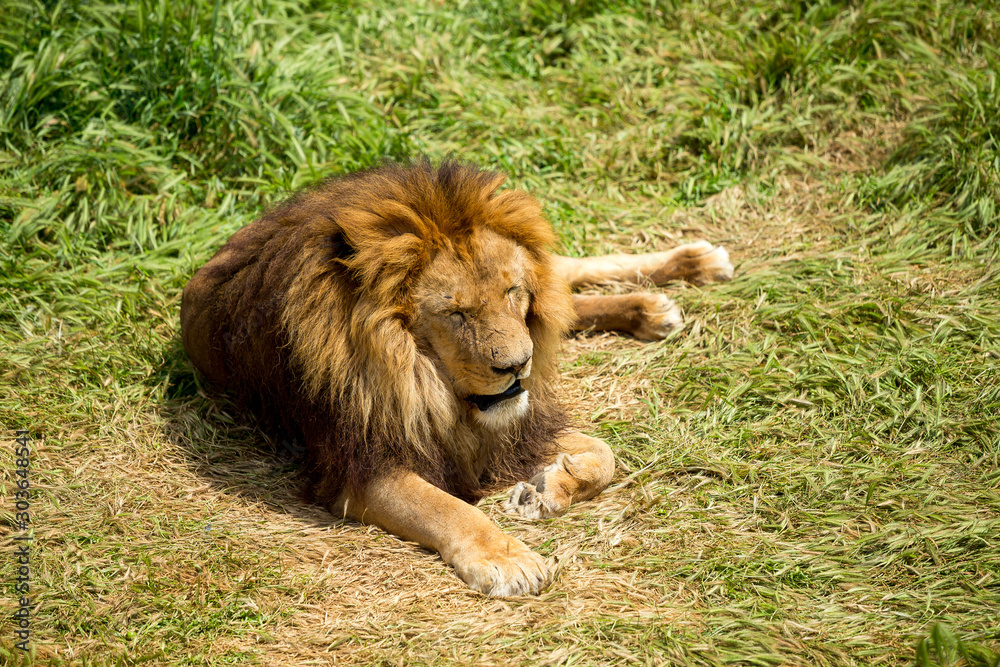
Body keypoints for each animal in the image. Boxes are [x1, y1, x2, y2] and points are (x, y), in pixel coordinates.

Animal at [180, 160, 732, 597]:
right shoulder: (359, 465)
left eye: (512, 292)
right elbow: (446, 509)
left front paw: (544, 491)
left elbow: (605, 456)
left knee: (564, 276)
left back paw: (692, 264)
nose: (519, 364)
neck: (429, 382)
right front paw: (509, 558)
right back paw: (656, 303)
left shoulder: (516, 426)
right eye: (456, 314)